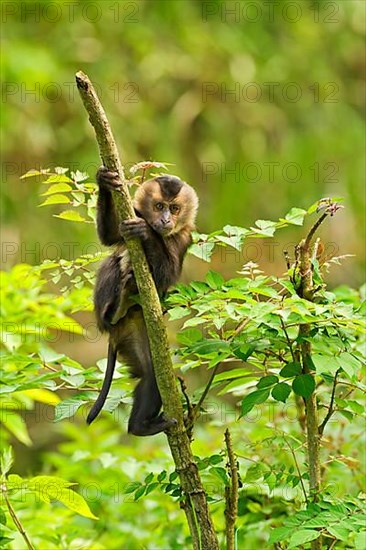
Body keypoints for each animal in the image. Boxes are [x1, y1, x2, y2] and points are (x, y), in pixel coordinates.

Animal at [87, 166, 199, 438]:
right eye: (159, 206)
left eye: (174, 208)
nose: (166, 220)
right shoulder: (133, 213)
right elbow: (111, 237)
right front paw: (105, 180)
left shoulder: (185, 236)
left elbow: (167, 275)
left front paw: (146, 233)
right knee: (114, 262)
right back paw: (116, 308)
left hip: (136, 329)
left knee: (153, 374)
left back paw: (140, 427)